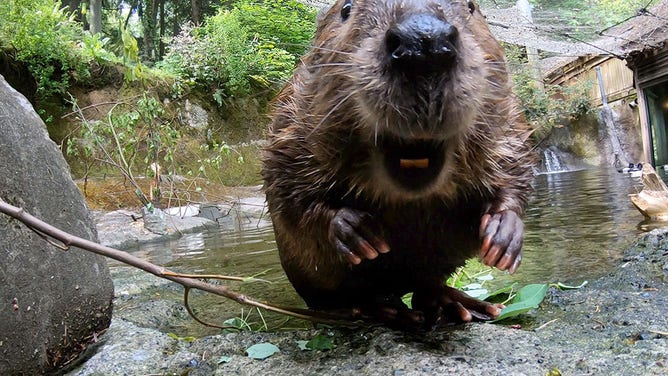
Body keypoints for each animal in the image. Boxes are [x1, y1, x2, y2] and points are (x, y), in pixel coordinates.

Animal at [264, 0, 536, 328]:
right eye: (346, 9)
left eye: (471, 7)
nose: (424, 42)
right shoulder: (292, 120)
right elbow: (290, 194)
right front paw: (357, 230)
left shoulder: (507, 115)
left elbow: (516, 167)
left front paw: (503, 237)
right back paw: (381, 308)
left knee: (427, 286)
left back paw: (458, 305)